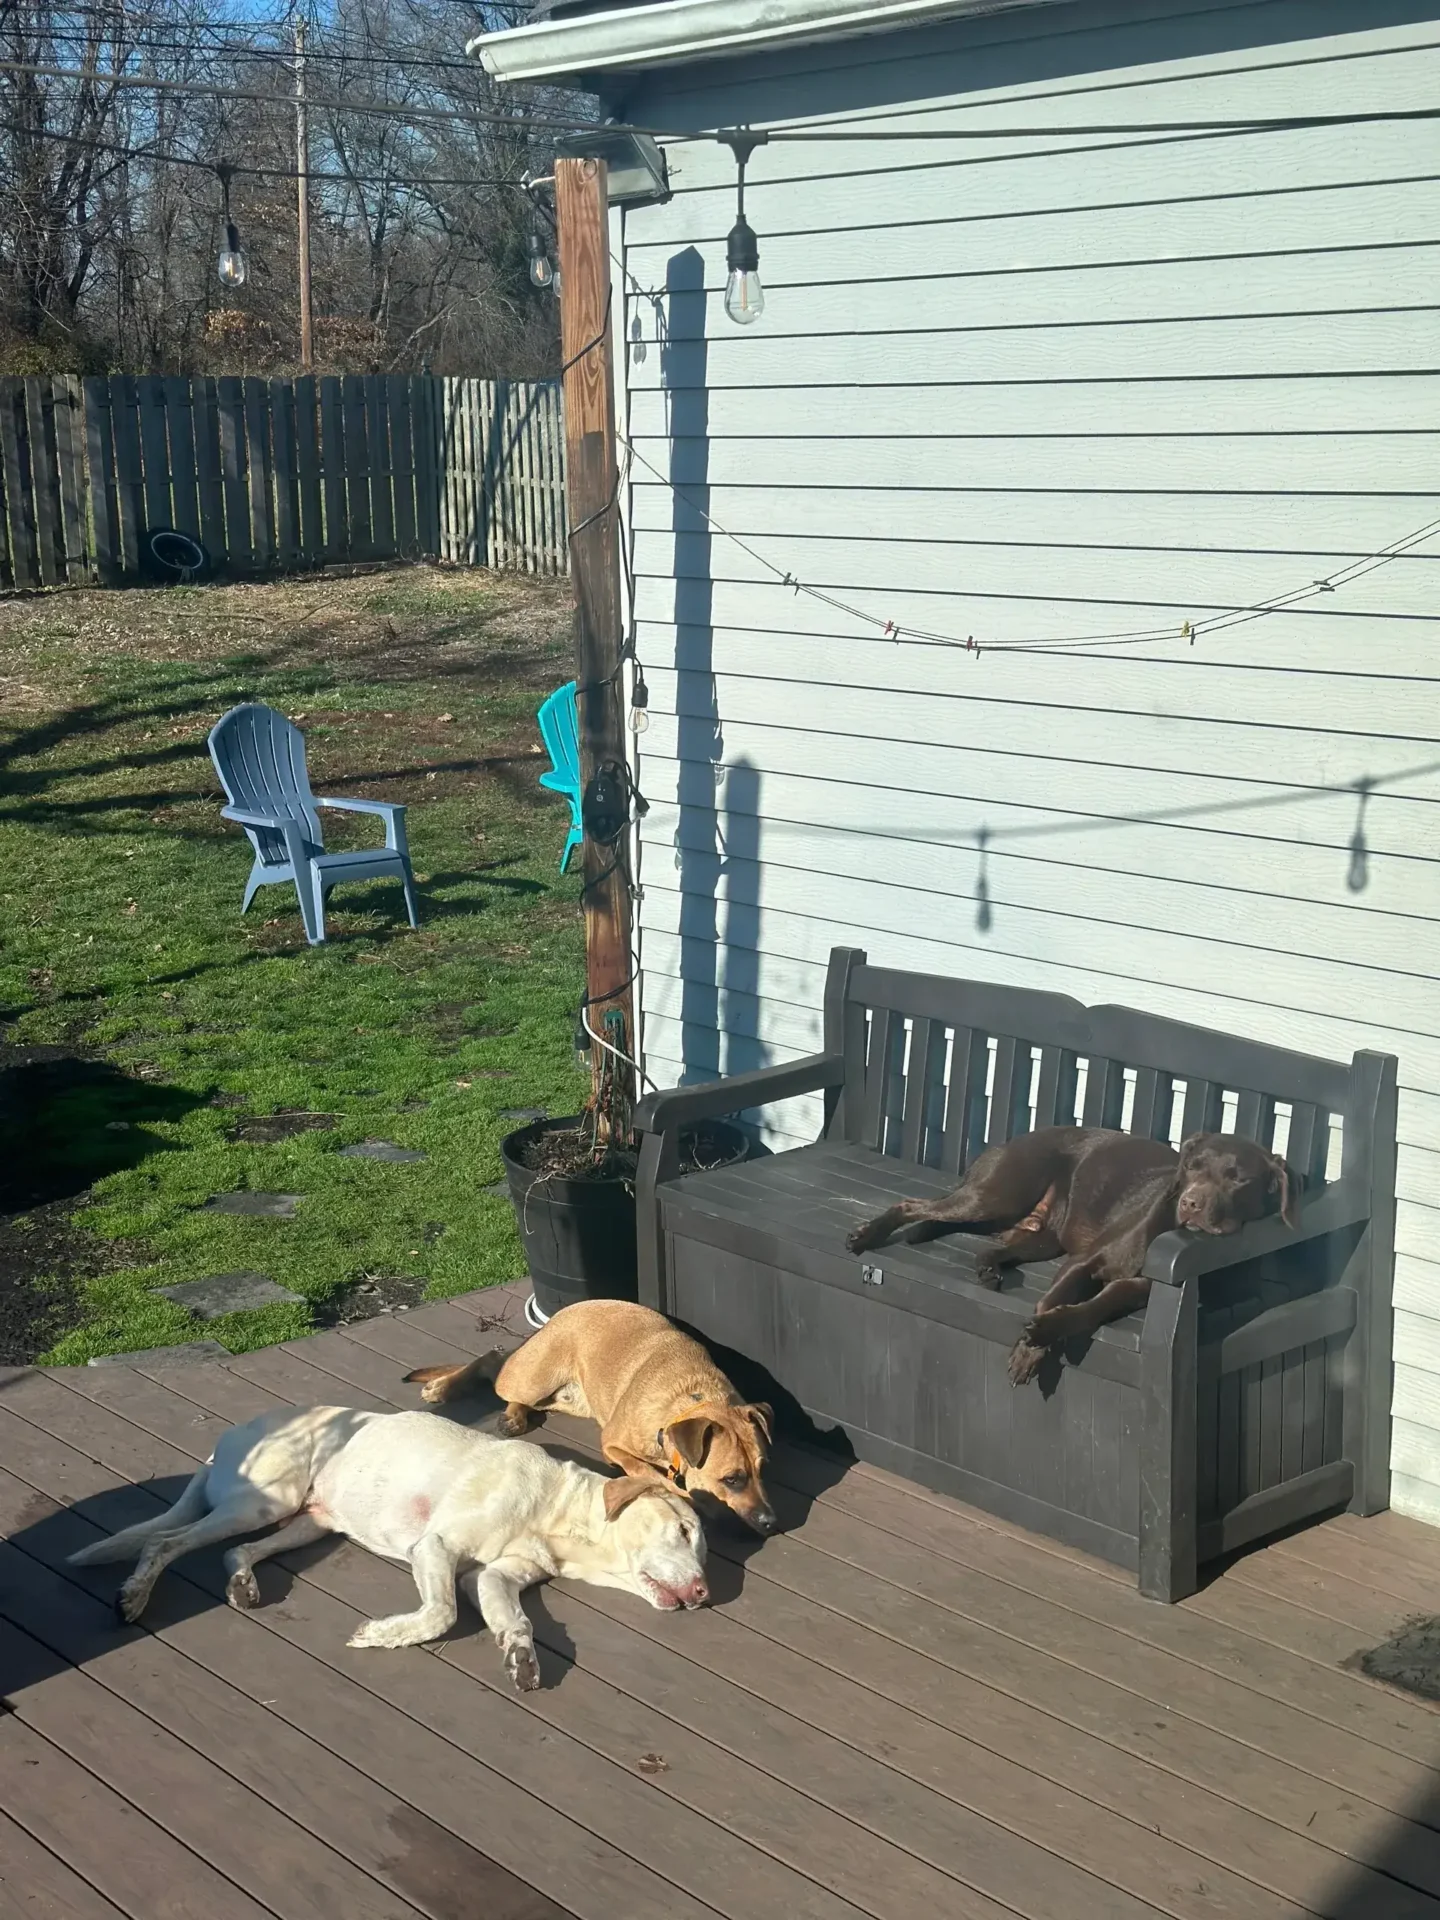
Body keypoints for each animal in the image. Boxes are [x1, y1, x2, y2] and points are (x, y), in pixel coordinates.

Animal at [67, 1397, 710, 1697]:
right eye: (684, 1532)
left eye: (702, 1550)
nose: (705, 1593)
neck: (558, 1510)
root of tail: (225, 1438)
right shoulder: (437, 1547)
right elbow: (441, 1613)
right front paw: (380, 1636)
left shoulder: (492, 1577)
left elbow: (513, 1619)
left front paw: (520, 1655)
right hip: (262, 1503)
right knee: (164, 1541)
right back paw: (134, 1595)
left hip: (312, 1522)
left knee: (235, 1553)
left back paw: (242, 1583)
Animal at [401, 1297, 783, 1536]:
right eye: (732, 1479)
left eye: (763, 1470)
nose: (772, 1522)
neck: (696, 1399)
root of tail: (562, 1313)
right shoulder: (613, 1443)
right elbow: (646, 1471)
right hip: (533, 1376)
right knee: (493, 1363)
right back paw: (443, 1387)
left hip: (566, 1397)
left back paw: (513, 1415)